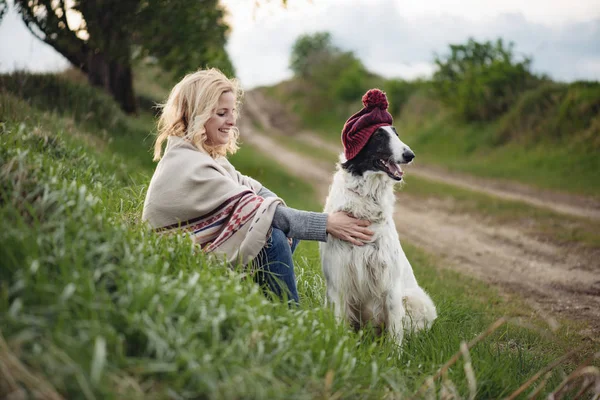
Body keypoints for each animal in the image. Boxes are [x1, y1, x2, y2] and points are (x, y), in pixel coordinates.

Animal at [318, 126, 436, 346]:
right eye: (378, 135)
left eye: (396, 134)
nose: (410, 155)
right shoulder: (338, 280)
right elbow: (339, 323)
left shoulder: (390, 285)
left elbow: (395, 334)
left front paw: (393, 354)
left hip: (414, 299)